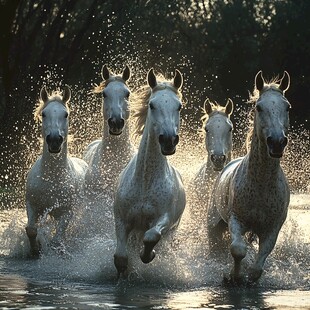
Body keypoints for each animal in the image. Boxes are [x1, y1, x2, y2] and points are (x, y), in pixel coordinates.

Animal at [25, 85, 88, 256]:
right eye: (44, 113)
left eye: (65, 114)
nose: (54, 140)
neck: (52, 177)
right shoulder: (32, 206)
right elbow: (31, 230)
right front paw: (35, 250)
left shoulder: (66, 213)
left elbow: (56, 240)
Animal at [114, 68, 186, 276]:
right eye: (152, 105)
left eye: (179, 107)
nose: (169, 140)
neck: (146, 180)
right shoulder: (121, 220)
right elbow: (120, 258)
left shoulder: (164, 219)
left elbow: (151, 236)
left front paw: (148, 255)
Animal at [207, 70, 292, 284]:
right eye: (259, 107)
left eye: (287, 107)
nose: (277, 142)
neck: (261, 184)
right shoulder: (236, 220)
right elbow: (237, 249)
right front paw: (232, 276)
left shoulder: (272, 227)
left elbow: (260, 261)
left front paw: (249, 276)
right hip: (214, 224)